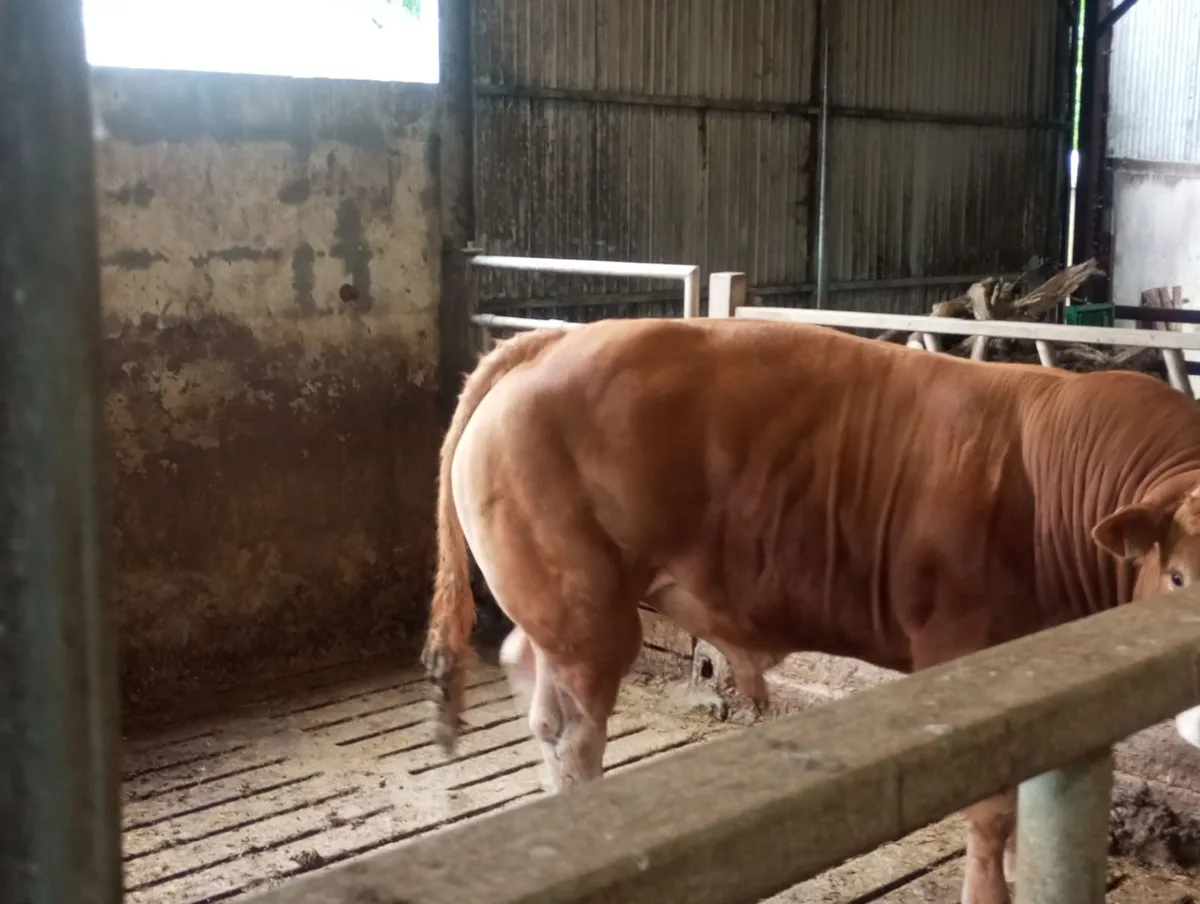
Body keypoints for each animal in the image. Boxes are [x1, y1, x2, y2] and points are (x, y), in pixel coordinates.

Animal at [422, 316, 1200, 904]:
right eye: (1178, 576)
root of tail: (552, 338)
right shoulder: (961, 647)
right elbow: (989, 809)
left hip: (558, 607)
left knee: (528, 675)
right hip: (589, 613)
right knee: (574, 733)